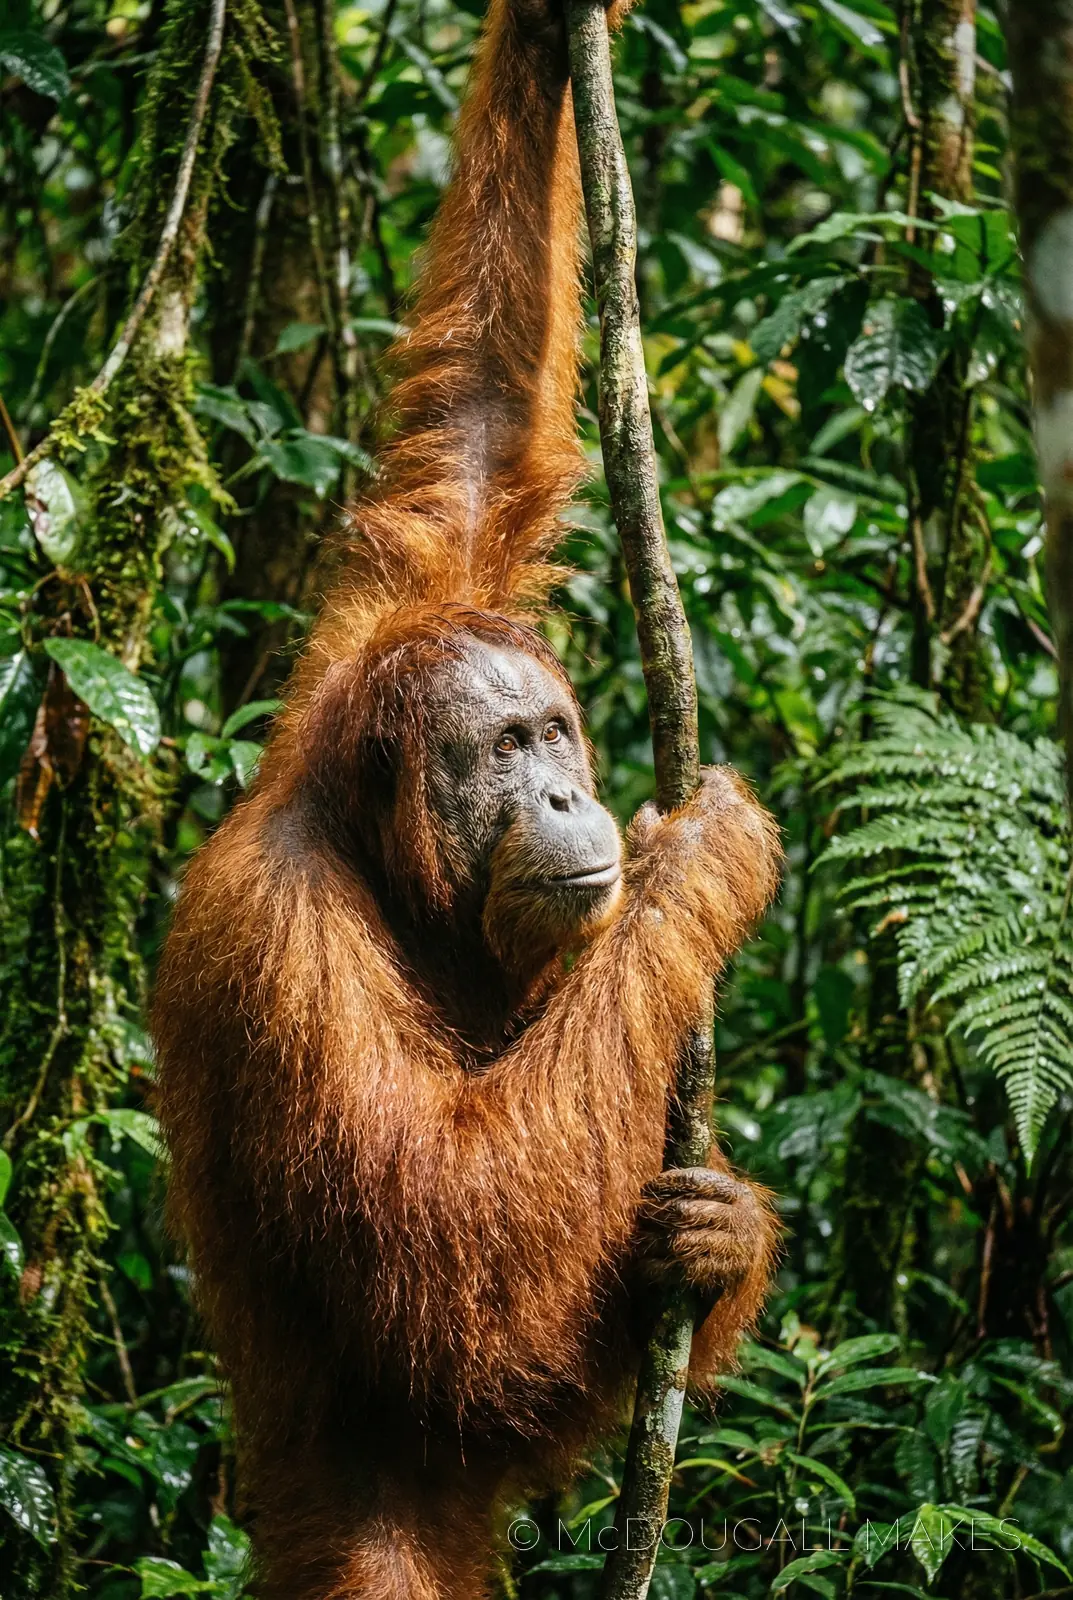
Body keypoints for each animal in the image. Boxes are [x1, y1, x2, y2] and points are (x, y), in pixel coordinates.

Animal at [151, 0, 782, 1594]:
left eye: (554, 731)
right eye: (501, 754)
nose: (564, 795)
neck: (384, 859)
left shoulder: (392, 612)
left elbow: (478, 426)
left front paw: (552, 33)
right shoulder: (280, 951)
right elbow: (449, 1237)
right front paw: (700, 860)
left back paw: (719, 1240)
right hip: (361, 1514)